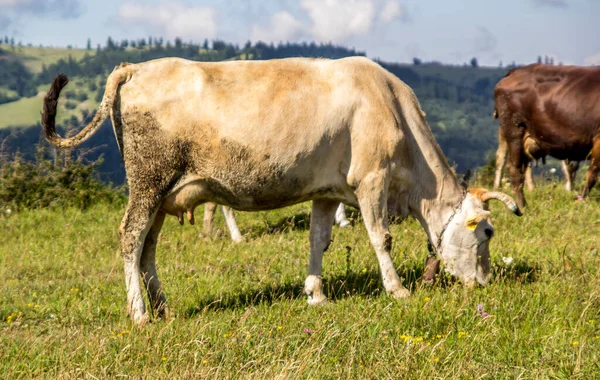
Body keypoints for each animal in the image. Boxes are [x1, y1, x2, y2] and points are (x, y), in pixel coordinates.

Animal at [41, 55, 520, 324]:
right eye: (487, 233)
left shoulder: (328, 190)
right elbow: (380, 237)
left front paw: (316, 294)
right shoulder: (371, 179)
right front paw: (398, 290)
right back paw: (140, 314)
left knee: (148, 246)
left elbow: (318, 240)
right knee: (130, 237)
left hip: (162, 192)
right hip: (148, 179)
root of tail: (135, 68)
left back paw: (163, 307)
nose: (484, 282)